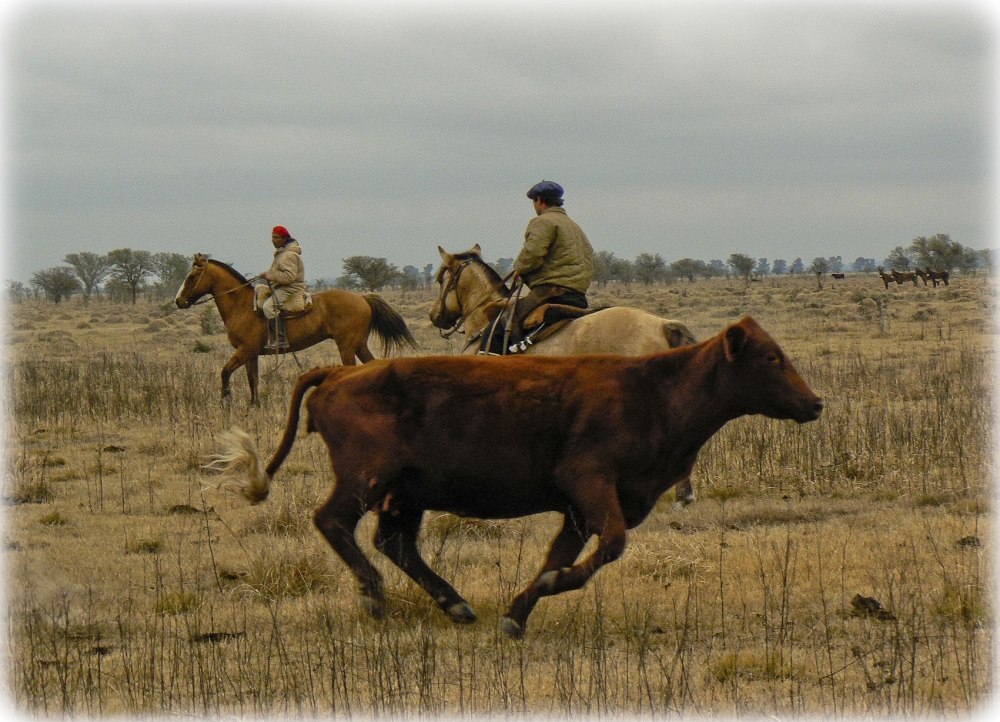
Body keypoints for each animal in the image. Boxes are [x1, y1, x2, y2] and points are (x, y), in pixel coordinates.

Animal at [176, 253, 418, 402]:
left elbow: (225, 372)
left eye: (192, 276)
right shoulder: (251, 354)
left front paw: (226, 402)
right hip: (358, 344)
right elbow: (253, 380)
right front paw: (253, 406)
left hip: (347, 346)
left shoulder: (244, 351)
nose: (179, 301)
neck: (243, 306)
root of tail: (362, 297)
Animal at [211, 316, 820, 636]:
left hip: (404, 493)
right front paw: (541, 594)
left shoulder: (581, 509)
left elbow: (560, 557)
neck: (654, 389)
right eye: (770, 359)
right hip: (365, 480)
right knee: (334, 523)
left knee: (395, 543)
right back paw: (375, 595)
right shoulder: (592, 486)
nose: (815, 404)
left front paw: (518, 612)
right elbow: (608, 547)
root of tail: (339, 372)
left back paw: (456, 605)